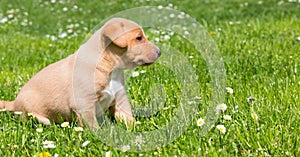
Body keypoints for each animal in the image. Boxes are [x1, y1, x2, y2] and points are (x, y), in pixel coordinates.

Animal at [0, 17, 162, 130]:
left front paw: (137, 130)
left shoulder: (120, 98)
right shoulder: (84, 104)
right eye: (139, 38)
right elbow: (93, 126)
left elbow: (128, 118)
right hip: (29, 107)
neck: (109, 67)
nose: (160, 52)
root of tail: (14, 102)